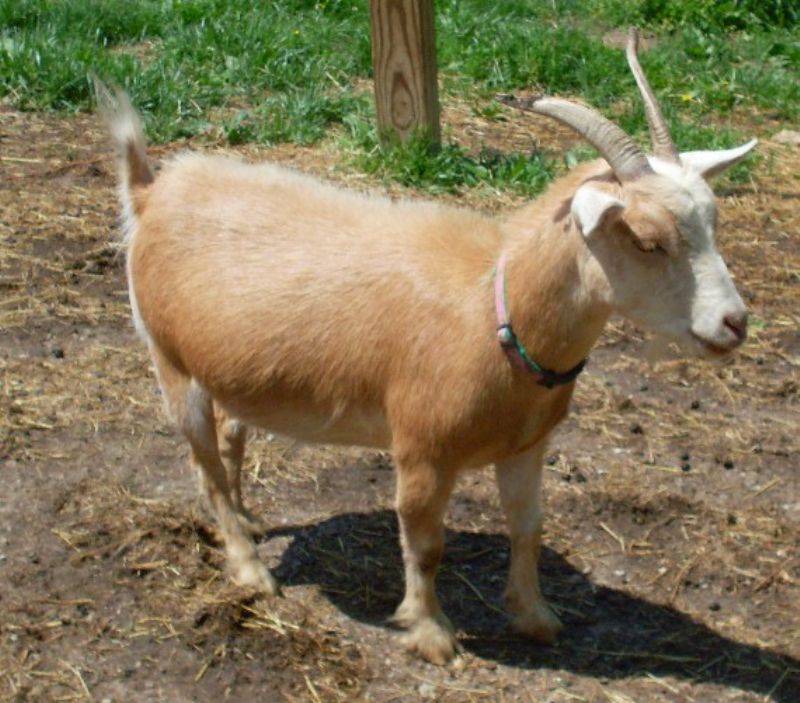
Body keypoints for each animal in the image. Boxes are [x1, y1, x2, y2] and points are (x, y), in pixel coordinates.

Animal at [97, 29, 755, 664]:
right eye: (646, 240)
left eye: (713, 222)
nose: (734, 323)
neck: (497, 303)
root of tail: (151, 191)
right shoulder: (422, 449)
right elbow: (425, 543)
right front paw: (431, 634)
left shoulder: (527, 447)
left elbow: (529, 529)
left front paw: (535, 617)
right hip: (169, 359)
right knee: (203, 462)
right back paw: (251, 568)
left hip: (232, 369)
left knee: (232, 438)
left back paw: (249, 520)